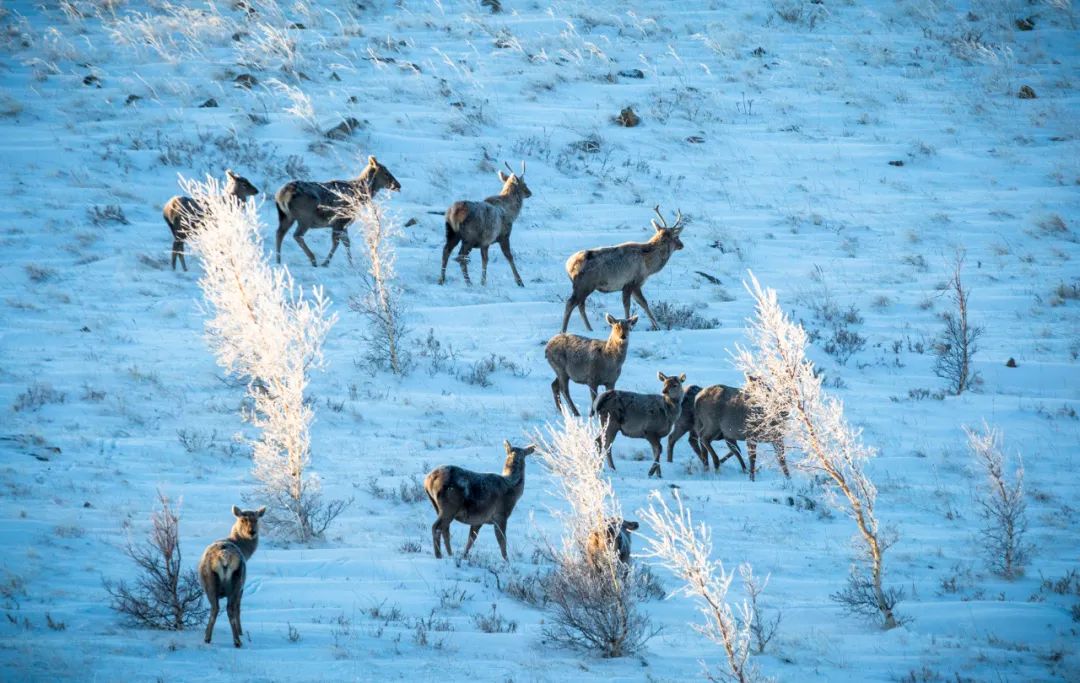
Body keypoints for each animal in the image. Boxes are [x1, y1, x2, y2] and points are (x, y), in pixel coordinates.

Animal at [195, 503, 262, 648]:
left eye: (256, 519)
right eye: (243, 519)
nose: (252, 532)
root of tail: (224, 556)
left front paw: (241, 632)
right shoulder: (242, 587)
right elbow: (238, 608)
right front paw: (241, 631)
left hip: (215, 582)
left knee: (219, 608)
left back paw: (211, 638)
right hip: (237, 580)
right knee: (229, 608)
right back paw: (236, 640)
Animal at [561, 206, 686, 335]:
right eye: (677, 236)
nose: (682, 245)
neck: (648, 265)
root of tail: (568, 265)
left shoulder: (631, 285)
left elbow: (639, 304)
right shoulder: (633, 282)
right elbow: (638, 304)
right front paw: (651, 327)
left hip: (584, 286)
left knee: (580, 304)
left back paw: (589, 329)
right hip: (584, 284)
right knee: (571, 303)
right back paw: (563, 330)